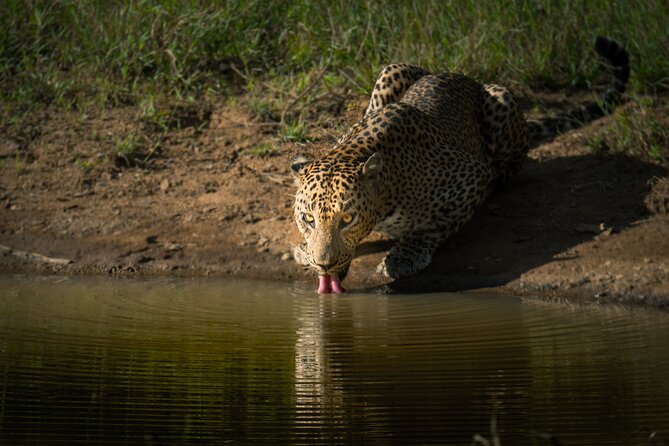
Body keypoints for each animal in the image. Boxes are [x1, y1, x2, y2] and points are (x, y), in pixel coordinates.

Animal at [290, 36, 629, 293]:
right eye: (308, 219)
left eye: (347, 218)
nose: (324, 264)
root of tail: (461, 75)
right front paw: (306, 253)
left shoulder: (472, 177)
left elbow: (434, 225)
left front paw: (404, 256)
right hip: (392, 69)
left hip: (501, 101)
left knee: (508, 169)